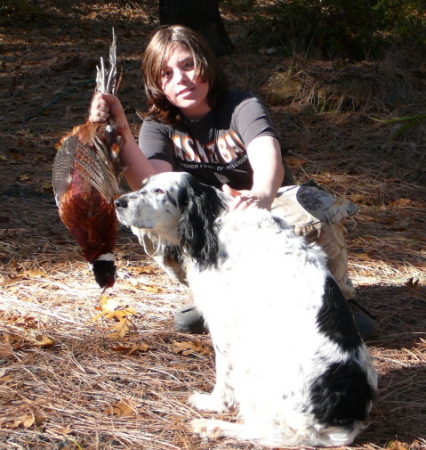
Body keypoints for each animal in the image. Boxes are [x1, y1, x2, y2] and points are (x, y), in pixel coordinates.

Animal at [115, 171, 378, 446]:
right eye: (144, 185)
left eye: (160, 192)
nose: (118, 203)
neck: (213, 223)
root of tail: (347, 419)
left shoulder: (225, 325)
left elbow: (223, 373)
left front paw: (213, 403)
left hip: (257, 375)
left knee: (273, 431)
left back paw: (213, 426)